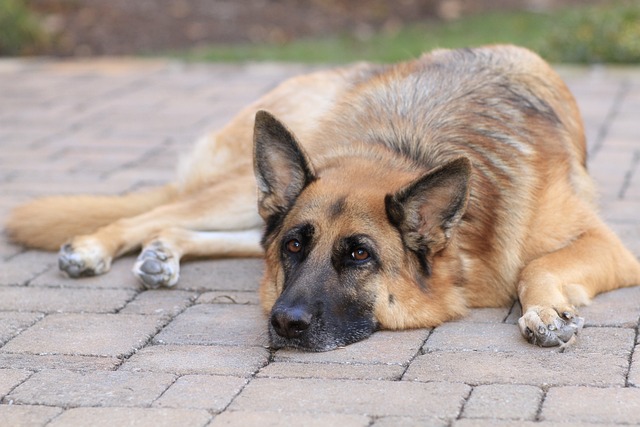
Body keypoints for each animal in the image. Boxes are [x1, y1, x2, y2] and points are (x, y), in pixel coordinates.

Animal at [6, 45, 640, 352]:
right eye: (295, 248)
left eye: (359, 255)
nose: (284, 323)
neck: (400, 146)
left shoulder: (610, 247)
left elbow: (538, 265)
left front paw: (545, 311)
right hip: (250, 180)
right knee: (156, 211)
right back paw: (94, 247)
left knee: (206, 230)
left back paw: (165, 254)